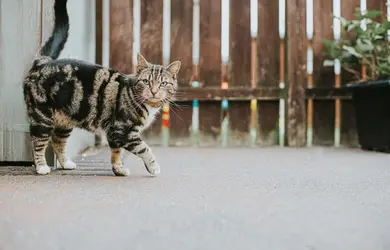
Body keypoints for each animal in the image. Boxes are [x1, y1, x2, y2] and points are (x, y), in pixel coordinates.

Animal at [24, 0, 181, 176]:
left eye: (163, 83)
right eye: (146, 81)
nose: (154, 91)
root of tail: (42, 62)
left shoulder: (114, 135)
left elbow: (116, 152)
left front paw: (119, 169)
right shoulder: (123, 131)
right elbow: (145, 149)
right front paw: (153, 167)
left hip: (65, 121)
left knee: (58, 141)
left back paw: (65, 163)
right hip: (42, 117)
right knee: (38, 142)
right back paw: (42, 167)